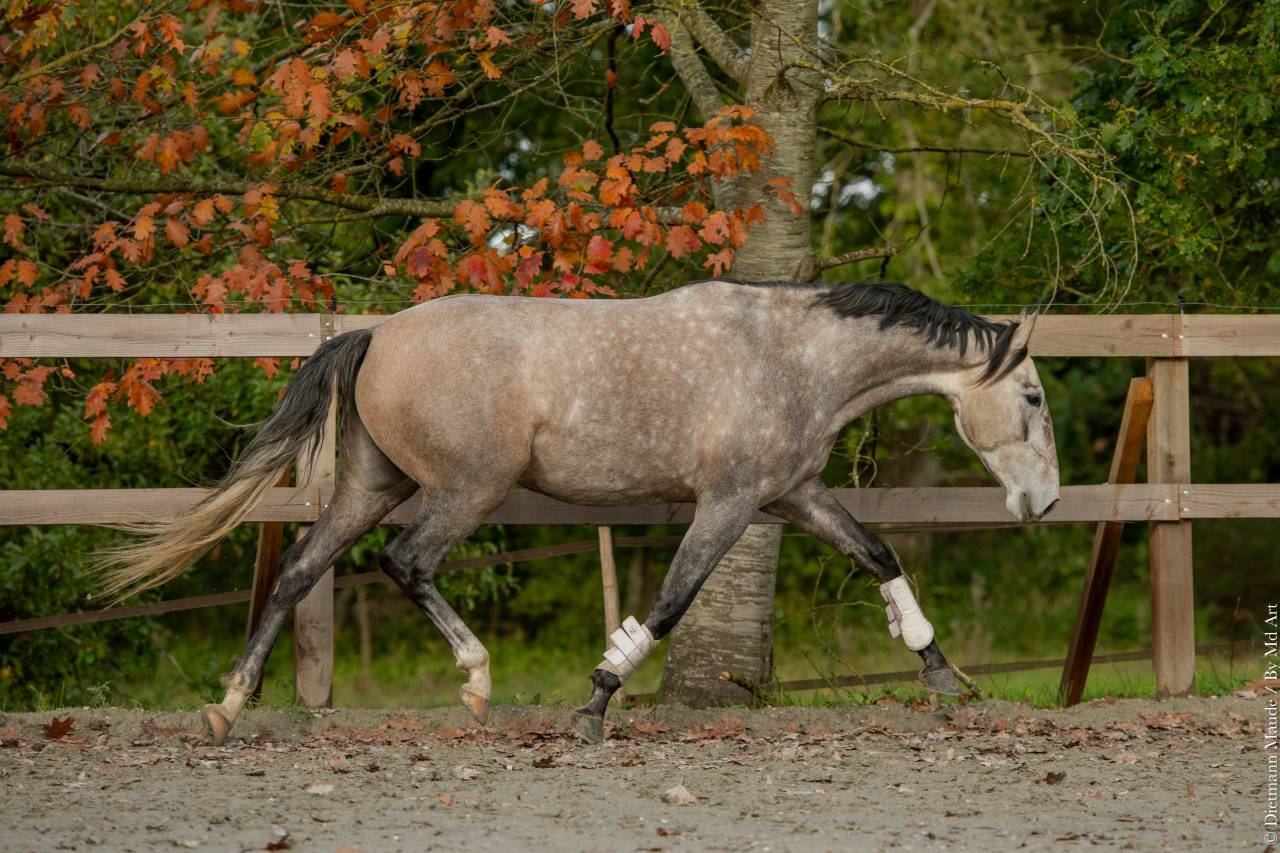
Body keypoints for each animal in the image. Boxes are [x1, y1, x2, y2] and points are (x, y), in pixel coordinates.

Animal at [97, 279, 1060, 745]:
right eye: (1035, 397)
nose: (1043, 501)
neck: (791, 355)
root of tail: (375, 333)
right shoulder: (729, 502)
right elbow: (669, 602)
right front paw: (595, 703)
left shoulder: (789, 493)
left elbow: (877, 554)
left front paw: (943, 674)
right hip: (464, 488)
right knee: (407, 562)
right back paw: (476, 680)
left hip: (372, 487)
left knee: (301, 569)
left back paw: (229, 705)